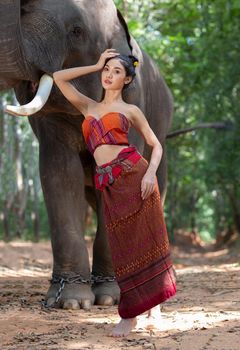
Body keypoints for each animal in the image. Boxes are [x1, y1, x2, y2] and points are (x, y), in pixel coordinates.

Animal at [0, 0, 172, 308]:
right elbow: (59, 174)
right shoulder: (52, 123)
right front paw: (71, 302)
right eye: (23, 12)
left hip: (162, 128)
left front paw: (109, 298)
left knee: (158, 183)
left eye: (76, 31)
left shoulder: (135, 100)